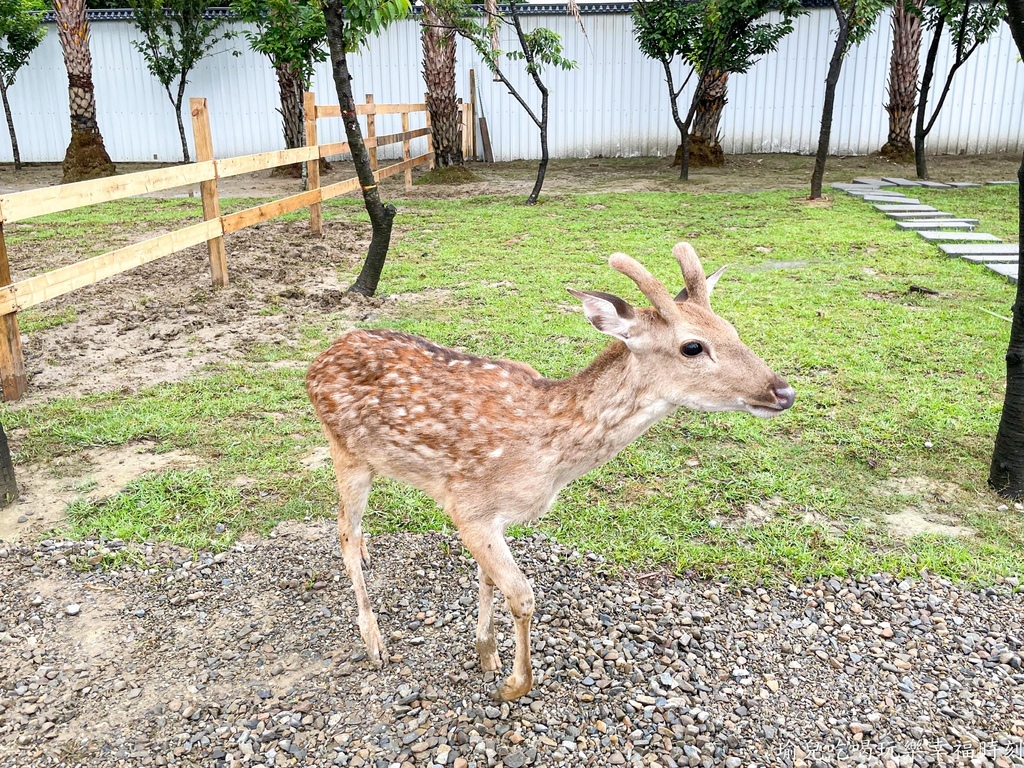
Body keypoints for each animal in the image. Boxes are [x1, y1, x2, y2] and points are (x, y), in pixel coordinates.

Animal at [307, 241, 794, 704]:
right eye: (692, 346)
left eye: (732, 330)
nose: (783, 391)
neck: (549, 457)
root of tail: (316, 361)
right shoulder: (468, 506)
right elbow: (522, 596)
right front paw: (512, 684)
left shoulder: (492, 518)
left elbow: (489, 580)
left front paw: (486, 653)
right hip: (345, 450)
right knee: (344, 529)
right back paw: (374, 643)